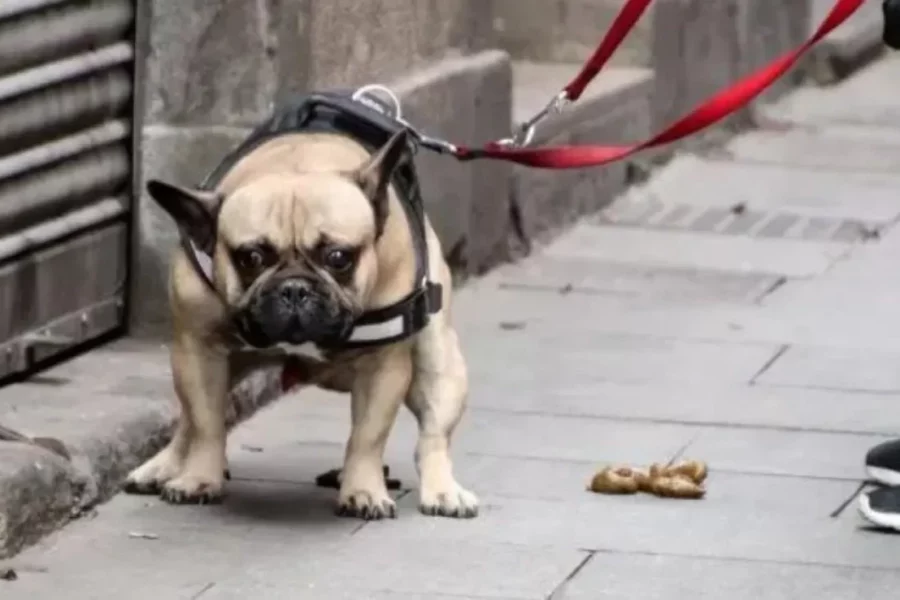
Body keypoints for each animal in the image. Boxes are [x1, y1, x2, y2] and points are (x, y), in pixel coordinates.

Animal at [125, 95, 486, 520]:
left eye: (339, 257)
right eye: (250, 258)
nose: (295, 289)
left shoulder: (383, 366)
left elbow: (367, 436)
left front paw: (363, 490)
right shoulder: (199, 350)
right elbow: (206, 423)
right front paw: (199, 477)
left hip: (438, 360)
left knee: (433, 434)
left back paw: (443, 492)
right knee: (188, 421)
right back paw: (163, 466)